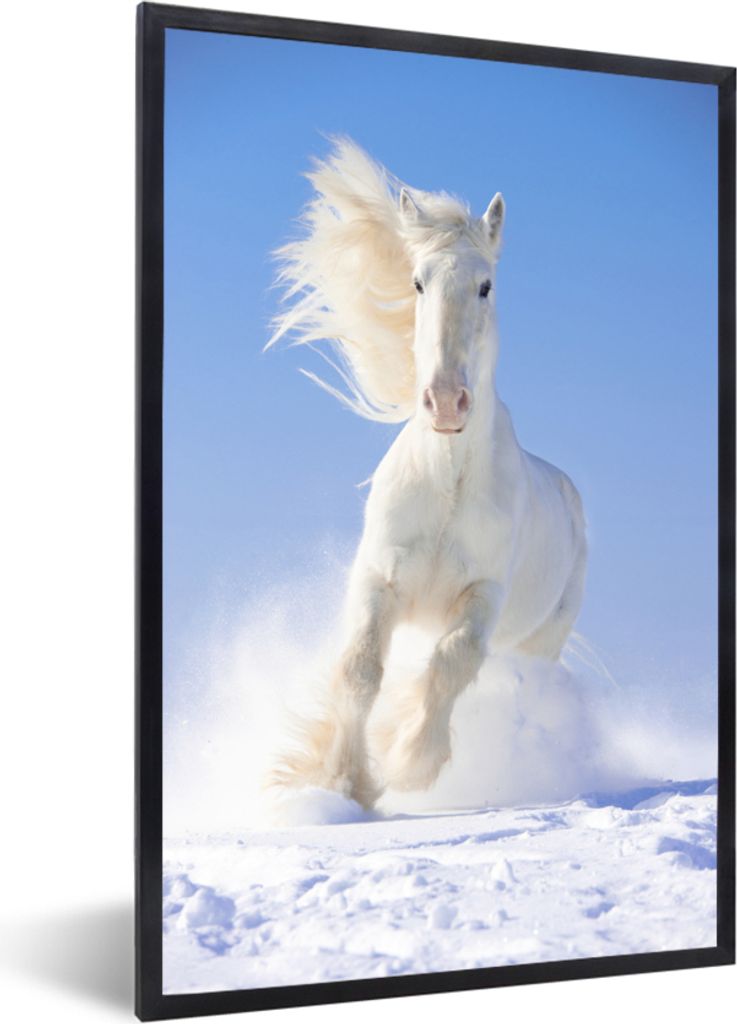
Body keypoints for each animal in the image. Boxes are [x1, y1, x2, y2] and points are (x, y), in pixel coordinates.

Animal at [266, 137, 587, 809]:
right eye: (417, 282)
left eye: (487, 285)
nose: (445, 403)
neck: (447, 485)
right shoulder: (379, 579)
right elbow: (360, 669)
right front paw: (341, 782)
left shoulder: (483, 596)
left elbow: (451, 663)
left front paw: (410, 763)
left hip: (540, 642)